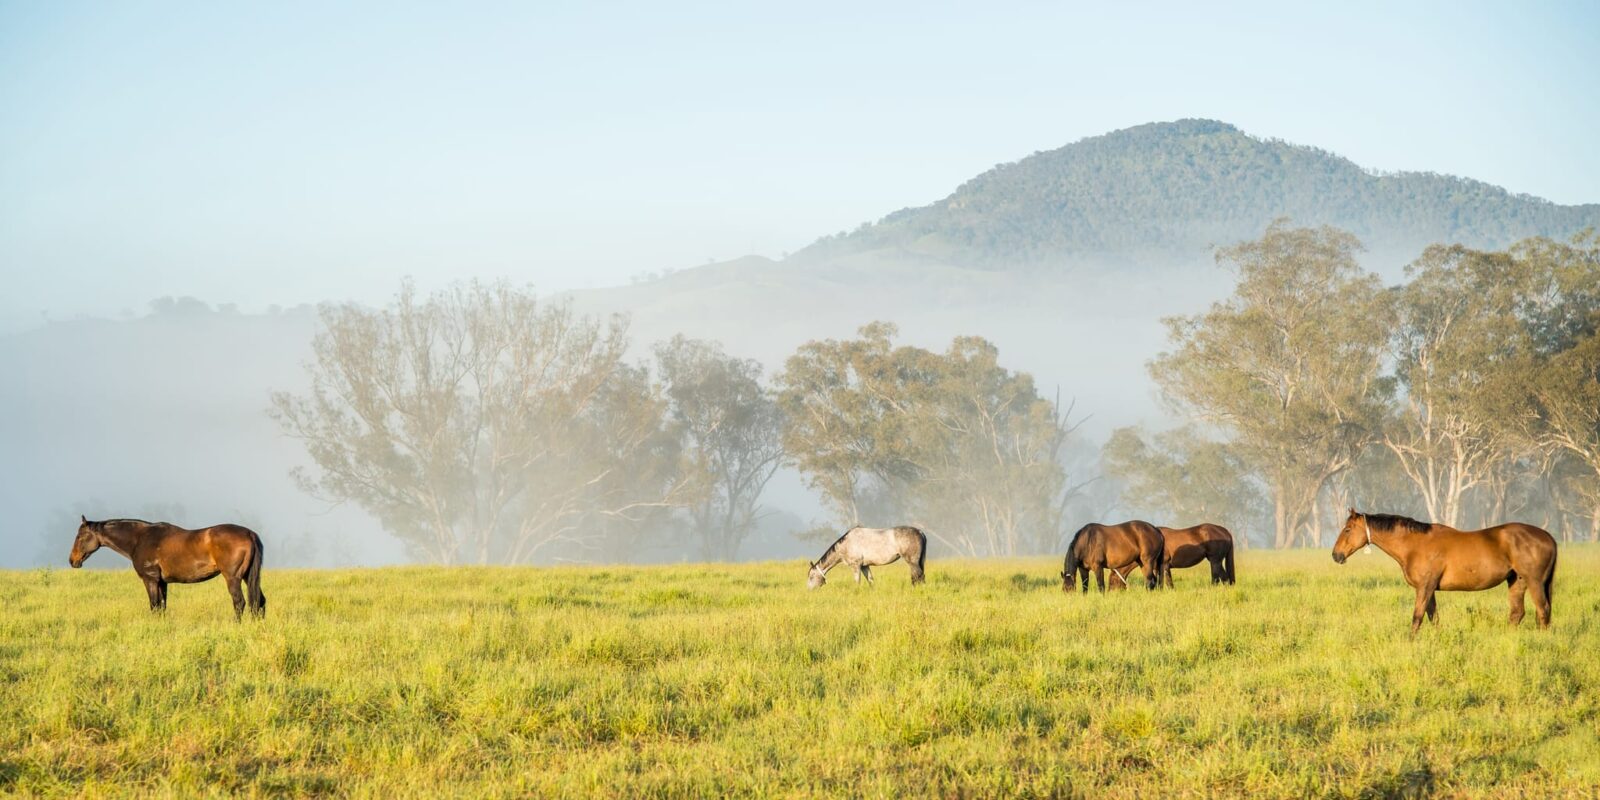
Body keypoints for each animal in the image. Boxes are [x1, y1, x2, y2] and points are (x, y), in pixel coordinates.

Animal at [68, 515, 267, 620]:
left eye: (80, 536)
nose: (72, 561)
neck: (139, 539)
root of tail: (249, 533)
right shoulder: (162, 582)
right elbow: (162, 606)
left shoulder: (150, 580)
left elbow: (154, 606)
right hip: (248, 577)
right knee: (259, 601)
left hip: (233, 578)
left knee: (239, 602)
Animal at [1331, 508, 1555, 633]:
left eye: (1348, 529)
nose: (1336, 555)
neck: (1415, 545)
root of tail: (1549, 537)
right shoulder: (1429, 589)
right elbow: (1433, 617)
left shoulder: (1425, 587)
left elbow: (1417, 617)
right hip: (1517, 581)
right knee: (1518, 613)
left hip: (1534, 582)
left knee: (1542, 610)